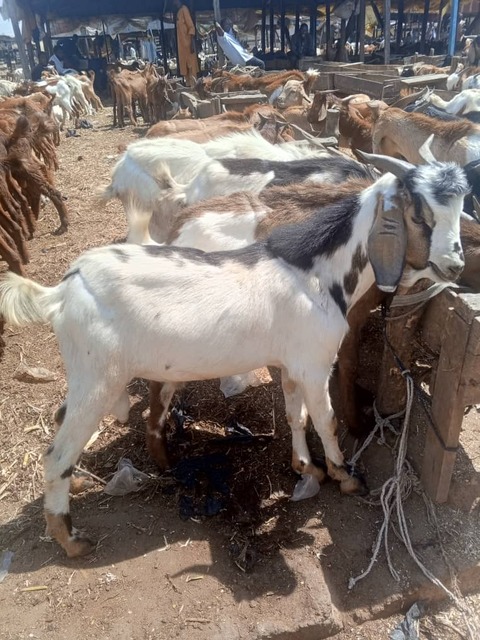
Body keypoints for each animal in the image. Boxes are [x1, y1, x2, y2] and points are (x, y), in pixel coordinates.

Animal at [0, 153, 468, 557]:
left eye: (462, 209)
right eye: (419, 215)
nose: (456, 266)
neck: (316, 273)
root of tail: (62, 291)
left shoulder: (291, 364)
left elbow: (296, 415)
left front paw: (307, 468)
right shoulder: (316, 365)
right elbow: (327, 421)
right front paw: (344, 476)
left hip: (86, 376)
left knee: (61, 421)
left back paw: (78, 486)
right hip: (99, 377)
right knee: (56, 453)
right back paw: (71, 539)